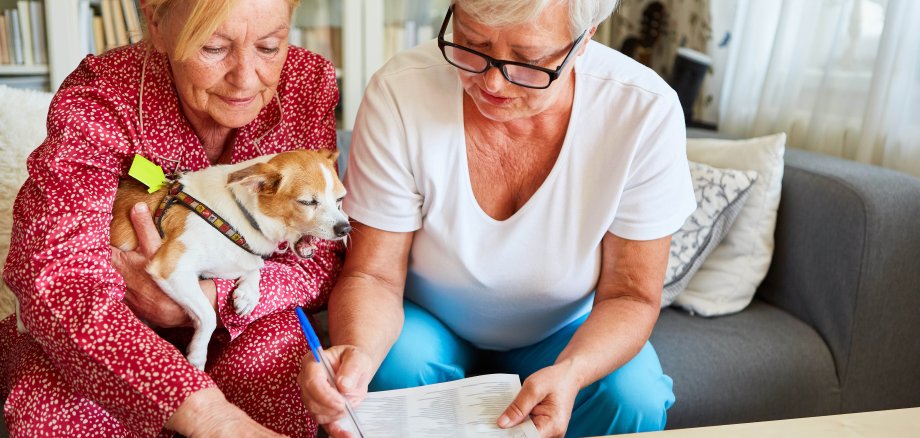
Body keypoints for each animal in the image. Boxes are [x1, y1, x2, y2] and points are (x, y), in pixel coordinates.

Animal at [18, 148, 348, 370]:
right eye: (307, 202)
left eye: (340, 199)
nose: (345, 228)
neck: (238, 215)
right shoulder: (172, 268)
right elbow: (209, 315)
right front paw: (197, 354)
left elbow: (253, 266)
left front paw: (247, 293)